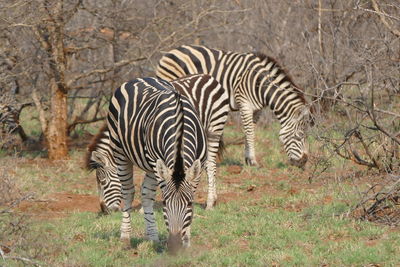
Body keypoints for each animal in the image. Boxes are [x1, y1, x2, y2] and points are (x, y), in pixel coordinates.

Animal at [88, 73, 230, 214]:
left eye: (103, 181)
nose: (104, 210)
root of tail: (208, 76)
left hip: (215, 127)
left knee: (210, 165)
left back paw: (210, 203)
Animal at [99, 77, 208, 253]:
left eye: (190, 203)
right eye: (164, 203)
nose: (174, 246)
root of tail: (136, 79)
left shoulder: (198, 167)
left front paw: (186, 241)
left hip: (151, 166)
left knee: (146, 194)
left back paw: (153, 237)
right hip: (120, 151)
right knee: (129, 192)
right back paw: (125, 237)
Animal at [155, 45, 314, 169]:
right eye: (300, 136)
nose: (304, 162)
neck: (260, 83)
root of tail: (170, 51)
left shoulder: (257, 109)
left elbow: (250, 131)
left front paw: (248, 160)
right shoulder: (244, 103)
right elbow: (250, 132)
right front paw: (253, 161)